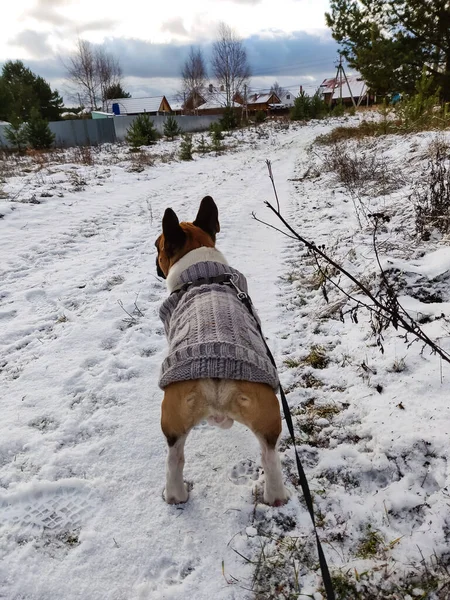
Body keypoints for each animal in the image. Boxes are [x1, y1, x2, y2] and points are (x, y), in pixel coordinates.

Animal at [155, 195, 288, 504]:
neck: (200, 266)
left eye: (157, 246)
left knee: (175, 459)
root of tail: (217, 375)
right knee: (268, 456)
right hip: (266, 417)